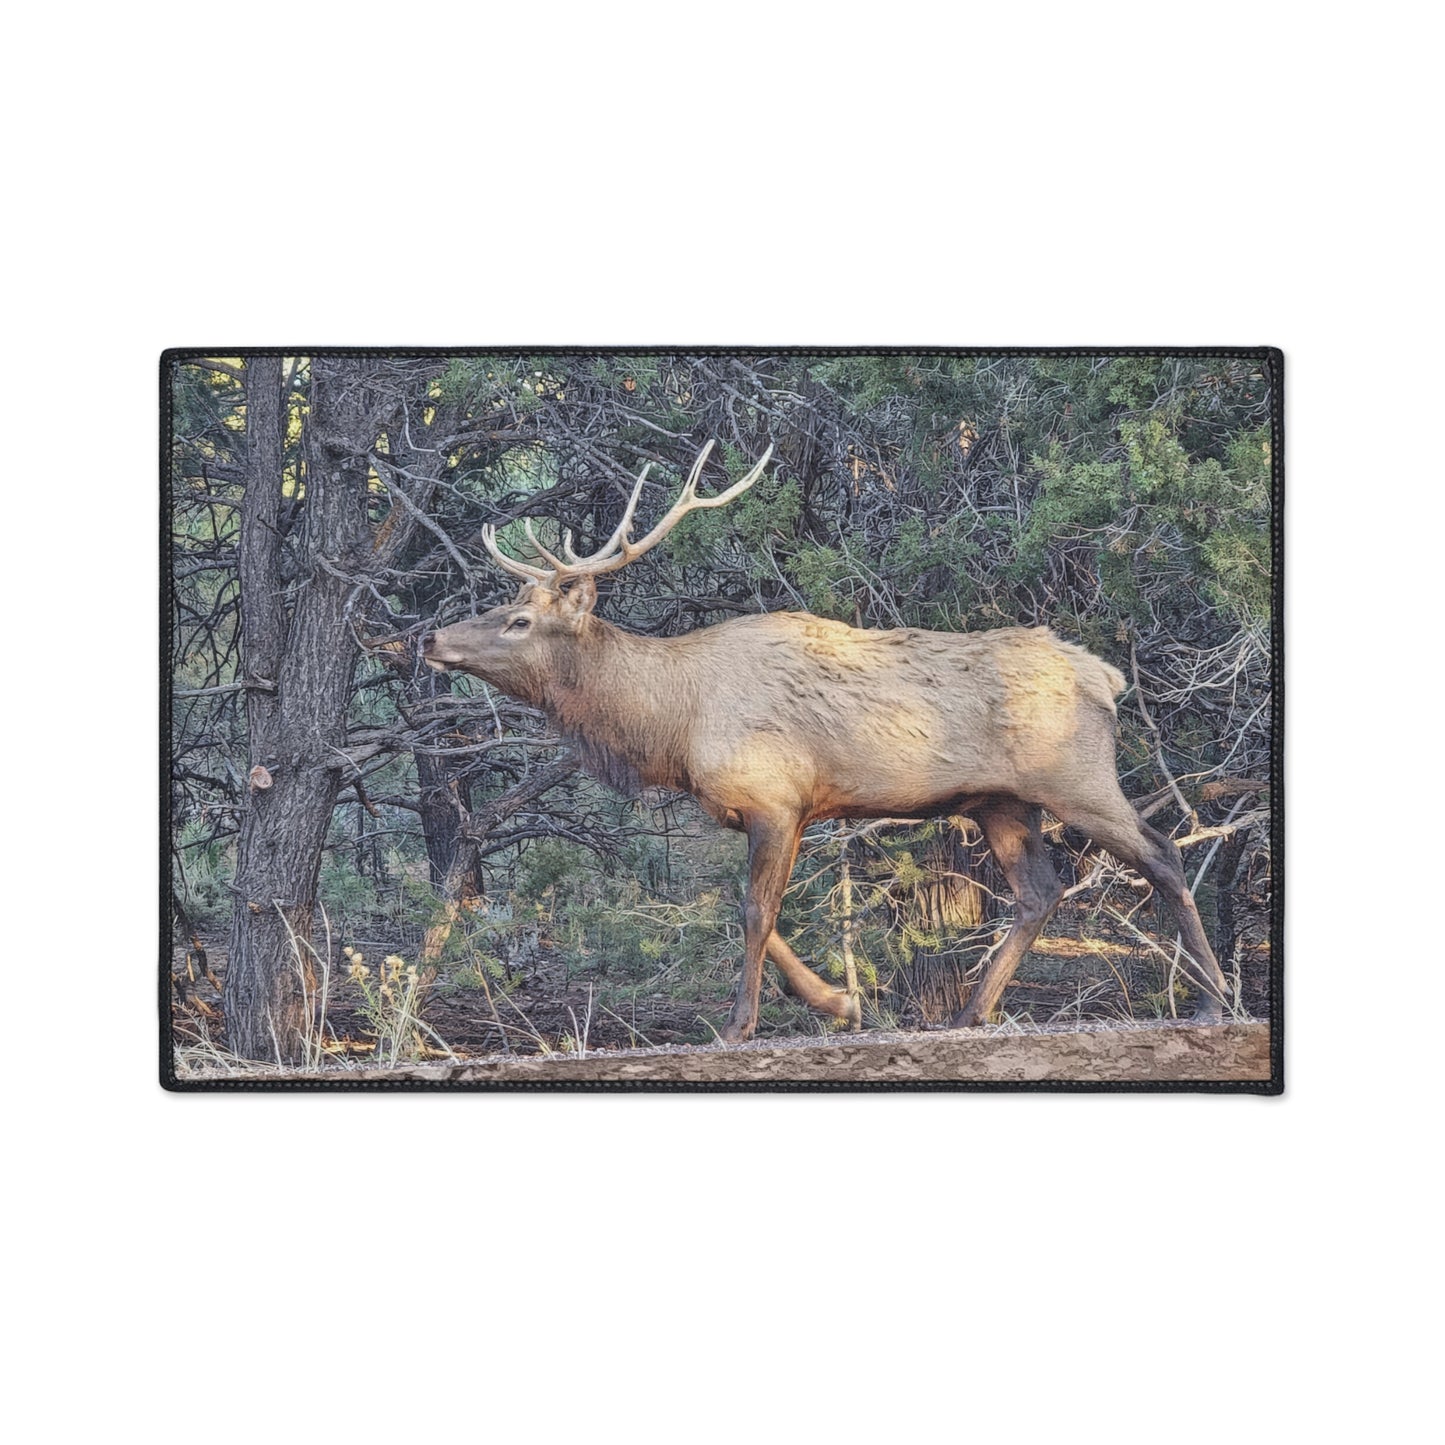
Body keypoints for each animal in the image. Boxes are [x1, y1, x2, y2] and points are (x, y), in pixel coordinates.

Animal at [422, 442, 1232, 1043]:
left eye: (520, 621)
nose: (431, 637)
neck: (672, 727)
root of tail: (1106, 676)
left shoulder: (775, 797)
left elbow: (754, 912)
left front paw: (740, 1025)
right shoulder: (772, 809)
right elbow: (761, 913)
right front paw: (843, 1002)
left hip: (1076, 777)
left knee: (1160, 852)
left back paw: (1211, 1001)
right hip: (1000, 802)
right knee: (1040, 891)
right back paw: (969, 1013)